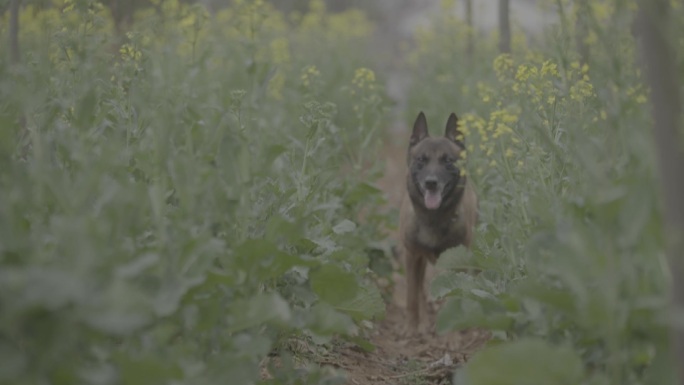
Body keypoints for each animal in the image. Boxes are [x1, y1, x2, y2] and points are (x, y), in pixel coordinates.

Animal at [398, 111, 478, 332]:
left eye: (447, 161)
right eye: (421, 160)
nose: (431, 183)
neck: (433, 218)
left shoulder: (458, 259)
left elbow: (455, 292)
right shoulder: (411, 256)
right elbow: (411, 294)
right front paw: (410, 327)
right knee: (419, 290)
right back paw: (423, 323)